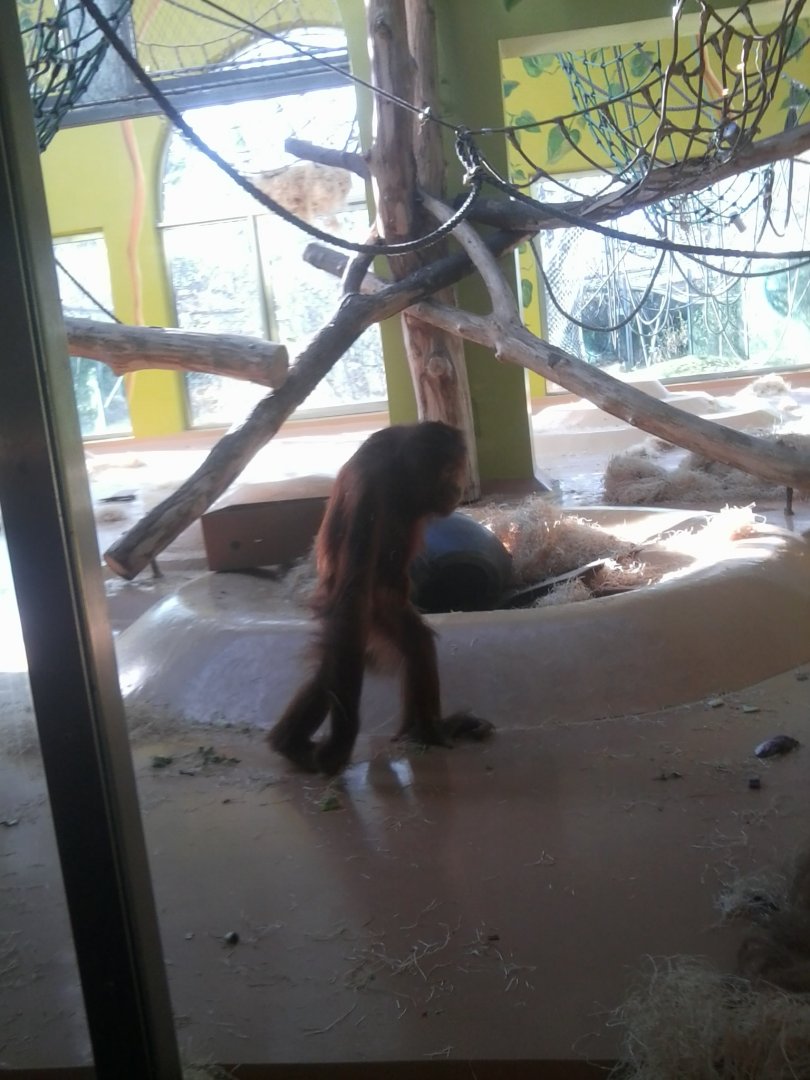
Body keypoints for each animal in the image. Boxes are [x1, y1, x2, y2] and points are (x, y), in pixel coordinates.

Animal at [268, 421, 494, 775]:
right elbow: (352, 594)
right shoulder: (370, 491)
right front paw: (339, 746)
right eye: (450, 471)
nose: (458, 487)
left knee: (412, 642)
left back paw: (427, 730)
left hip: (383, 605)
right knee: (346, 643)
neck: (400, 473)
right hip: (363, 605)